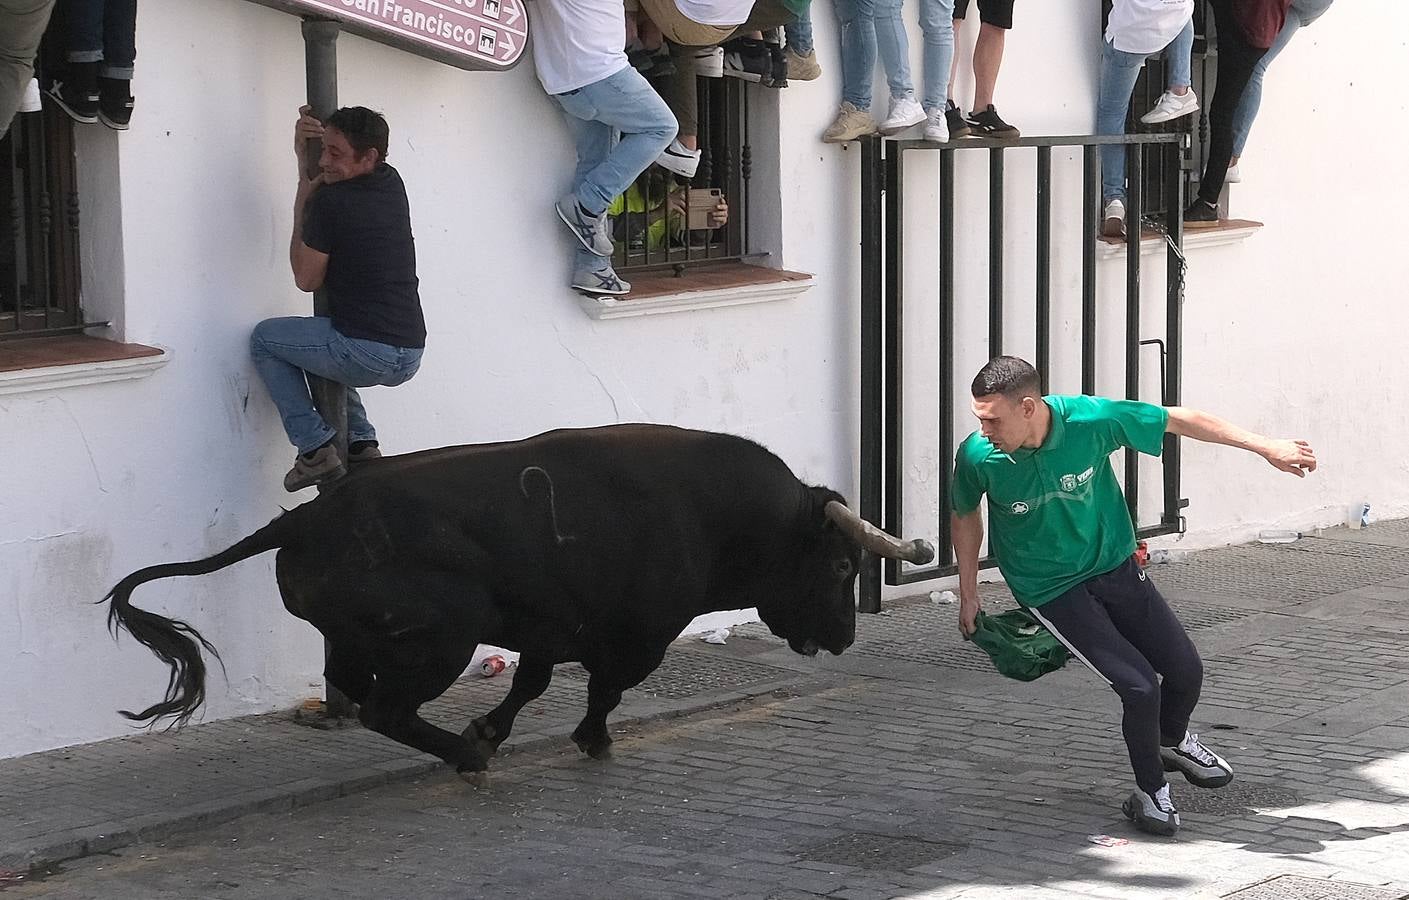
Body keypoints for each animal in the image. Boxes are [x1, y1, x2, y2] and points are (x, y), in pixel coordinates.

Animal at [104, 425, 929, 777]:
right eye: (839, 563)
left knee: (359, 691)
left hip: (368, 636)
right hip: (444, 637)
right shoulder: (637, 636)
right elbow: (603, 690)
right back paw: (464, 756)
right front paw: (584, 739)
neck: (712, 513)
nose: (845, 636)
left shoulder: (549, 626)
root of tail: (305, 517)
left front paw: (497, 729)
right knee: (385, 709)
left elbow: (531, 683)